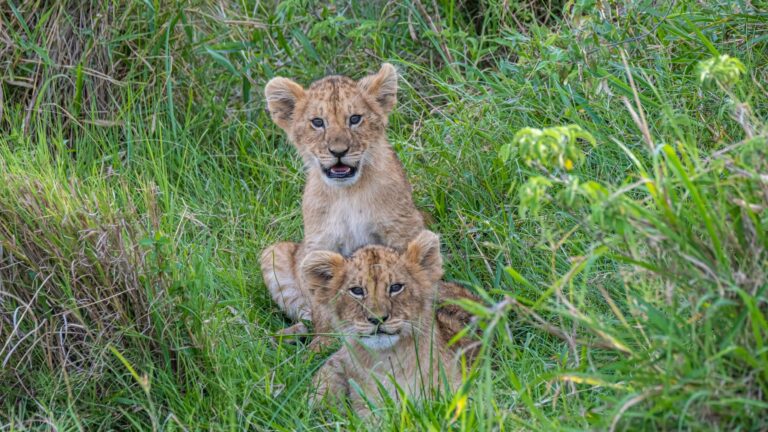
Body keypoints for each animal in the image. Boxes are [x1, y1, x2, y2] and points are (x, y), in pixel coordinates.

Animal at [261, 64, 425, 345]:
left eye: (355, 119)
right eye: (318, 122)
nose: (338, 151)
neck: (346, 193)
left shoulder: (403, 228)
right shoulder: (319, 244)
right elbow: (322, 300)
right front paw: (324, 344)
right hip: (273, 253)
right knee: (306, 315)